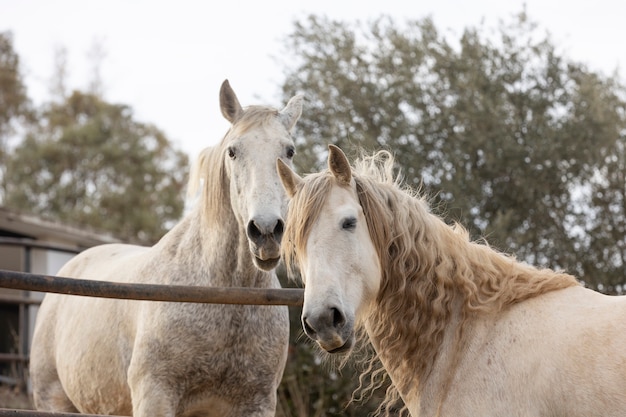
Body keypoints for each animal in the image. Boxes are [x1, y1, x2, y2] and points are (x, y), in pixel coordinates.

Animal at [29, 79, 302, 416]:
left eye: (289, 151)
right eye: (233, 152)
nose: (266, 231)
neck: (223, 295)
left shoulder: (256, 403)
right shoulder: (155, 396)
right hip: (53, 400)